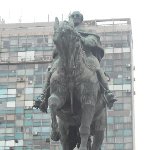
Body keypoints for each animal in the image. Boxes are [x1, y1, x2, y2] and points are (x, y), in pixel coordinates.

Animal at [47, 17, 105, 150]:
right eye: (55, 41)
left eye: (75, 39)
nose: (68, 68)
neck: (73, 76)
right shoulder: (59, 95)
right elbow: (52, 102)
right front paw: (54, 132)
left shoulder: (88, 102)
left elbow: (84, 129)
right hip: (67, 131)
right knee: (65, 141)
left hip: (100, 127)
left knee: (95, 141)